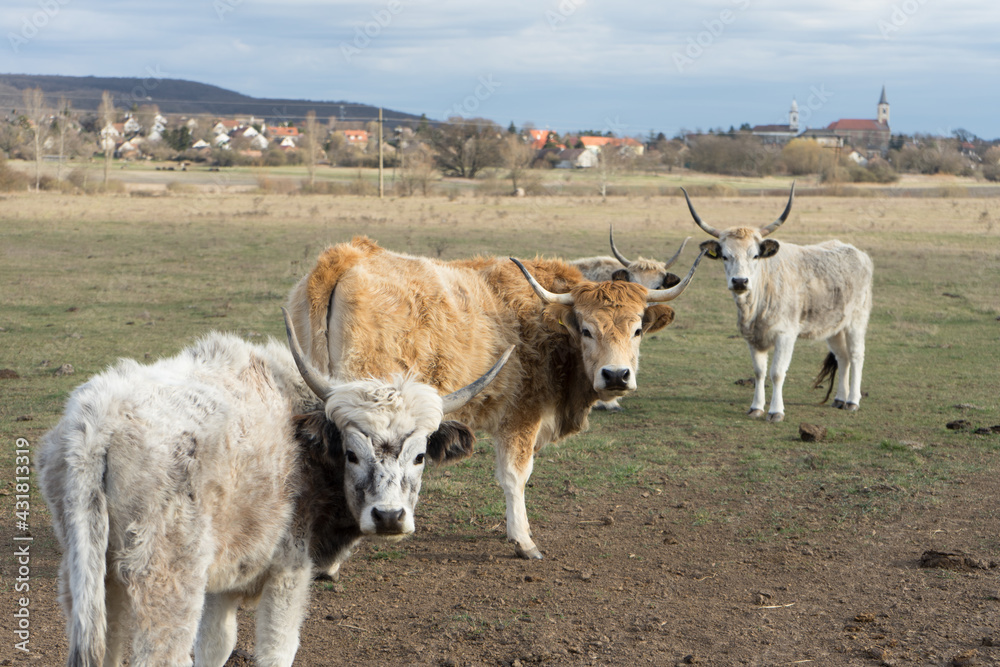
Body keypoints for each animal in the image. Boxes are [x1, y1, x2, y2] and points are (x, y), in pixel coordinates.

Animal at [37, 311, 511, 667]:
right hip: (167, 581)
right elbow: (276, 651)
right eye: (352, 453)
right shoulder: (289, 571)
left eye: (420, 456)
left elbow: (216, 647)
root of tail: (98, 422)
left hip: (93, 579)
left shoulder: (224, 583)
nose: (390, 516)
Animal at [682, 184, 873, 422]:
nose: (740, 281)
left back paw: (853, 401)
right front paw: (756, 407)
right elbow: (759, 372)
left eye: (755, 255)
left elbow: (777, 373)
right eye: (725, 256)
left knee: (856, 356)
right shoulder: (752, 337)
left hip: (856, 322)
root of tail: (856, 252)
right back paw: (840, 399)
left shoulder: (786, 335)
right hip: (834, 327)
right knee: (843, 357)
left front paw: (776, 411)